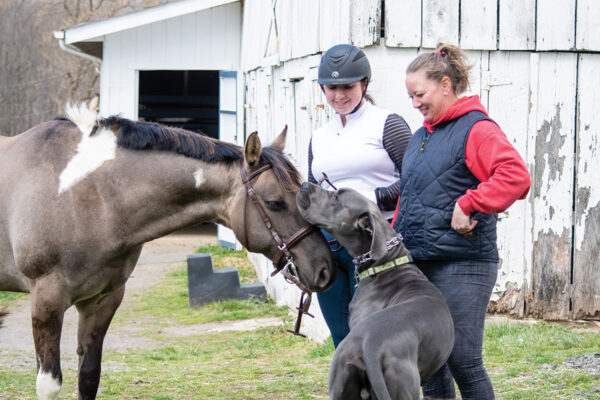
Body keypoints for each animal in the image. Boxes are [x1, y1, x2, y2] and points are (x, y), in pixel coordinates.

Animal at [0, 101, 332, 398]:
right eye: (274, 202)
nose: (325, 268)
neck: (89, 195)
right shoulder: (46, 301)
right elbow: (49, 383)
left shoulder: (102, 301)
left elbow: (89, 377)